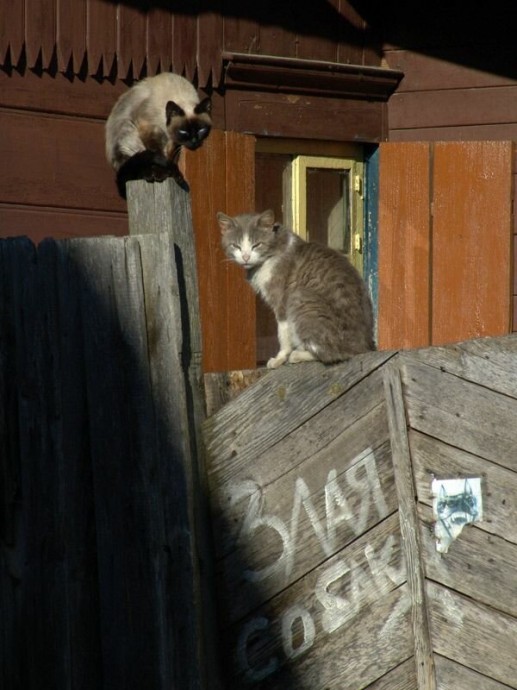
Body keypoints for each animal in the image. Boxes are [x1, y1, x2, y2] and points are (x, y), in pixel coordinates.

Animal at [218, 207, 374, 368]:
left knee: (332, 353)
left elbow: (283, 334)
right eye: (236, 246)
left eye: (257, 245)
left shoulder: (281, 301)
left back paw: (298, 354)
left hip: (299, 297)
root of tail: (362, 346)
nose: (246, 257)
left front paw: (279, 359)